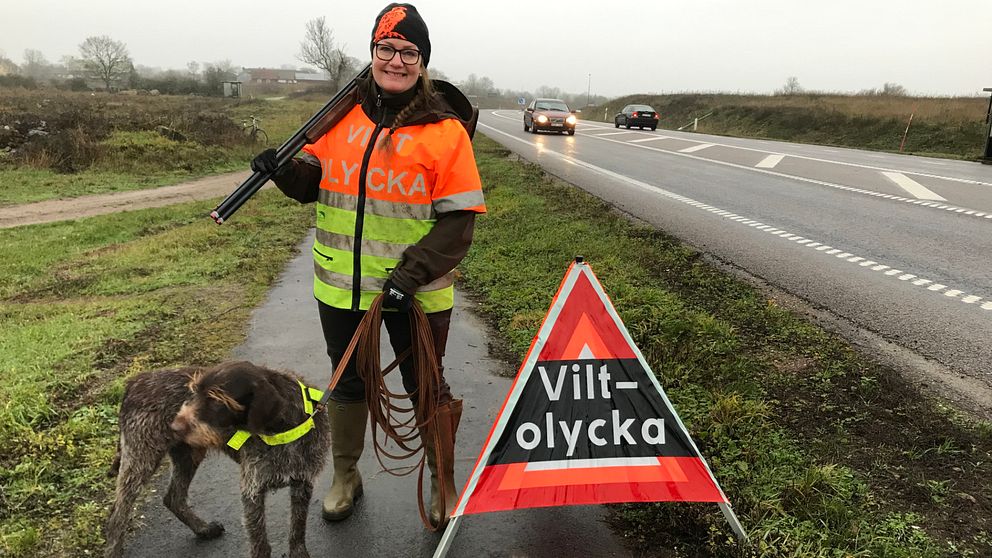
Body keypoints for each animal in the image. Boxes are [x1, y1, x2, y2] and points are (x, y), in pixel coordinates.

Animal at [104, 364, 332, 558]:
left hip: (188, 455)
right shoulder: (252, 490)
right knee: (117, 516)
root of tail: (135, 382)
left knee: (173, 498)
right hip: (141, 459)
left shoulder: (303, 483)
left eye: (216, 400)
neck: (284, 432)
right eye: (193, 392)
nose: (174, 426)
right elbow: (259, 541)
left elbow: (297, 529)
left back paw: (203, 529)